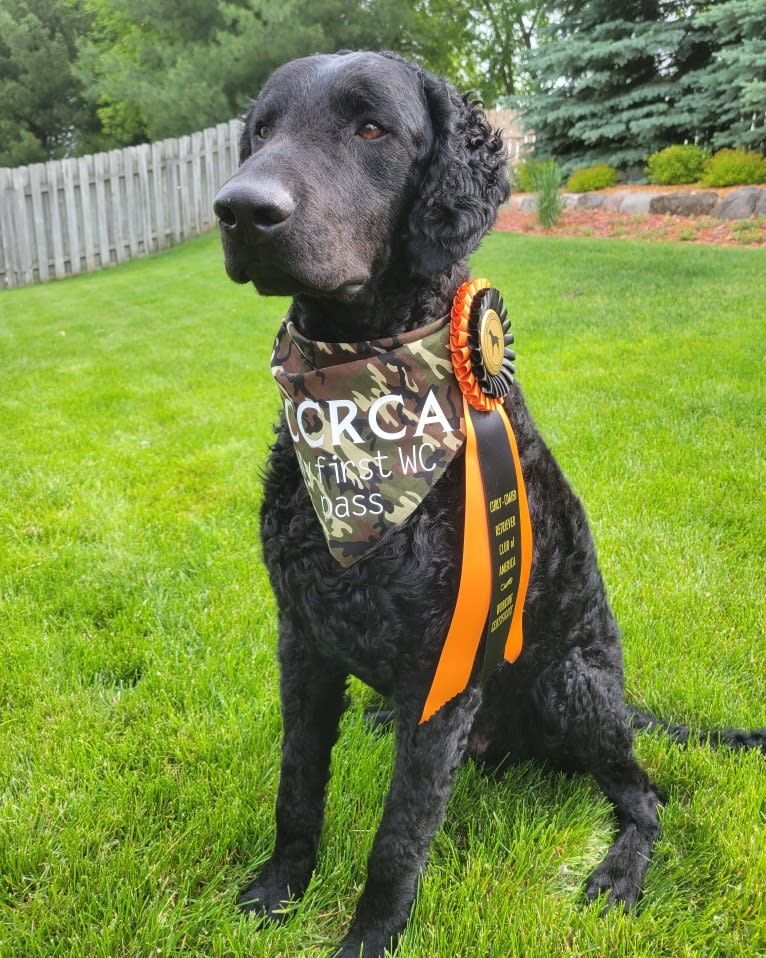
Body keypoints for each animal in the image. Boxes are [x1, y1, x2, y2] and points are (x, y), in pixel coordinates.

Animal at [213, 50, 764, 958]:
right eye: (261, 129)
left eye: (372, 128)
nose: (241, 208)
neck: (365, 382)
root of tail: (627, 699)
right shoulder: (303, 640)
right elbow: (297, 786)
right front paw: (277, 889)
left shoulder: (445, 671)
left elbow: (399, 836)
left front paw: (366, 939)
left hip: (572, 687)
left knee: (646, 796)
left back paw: (618, 872)